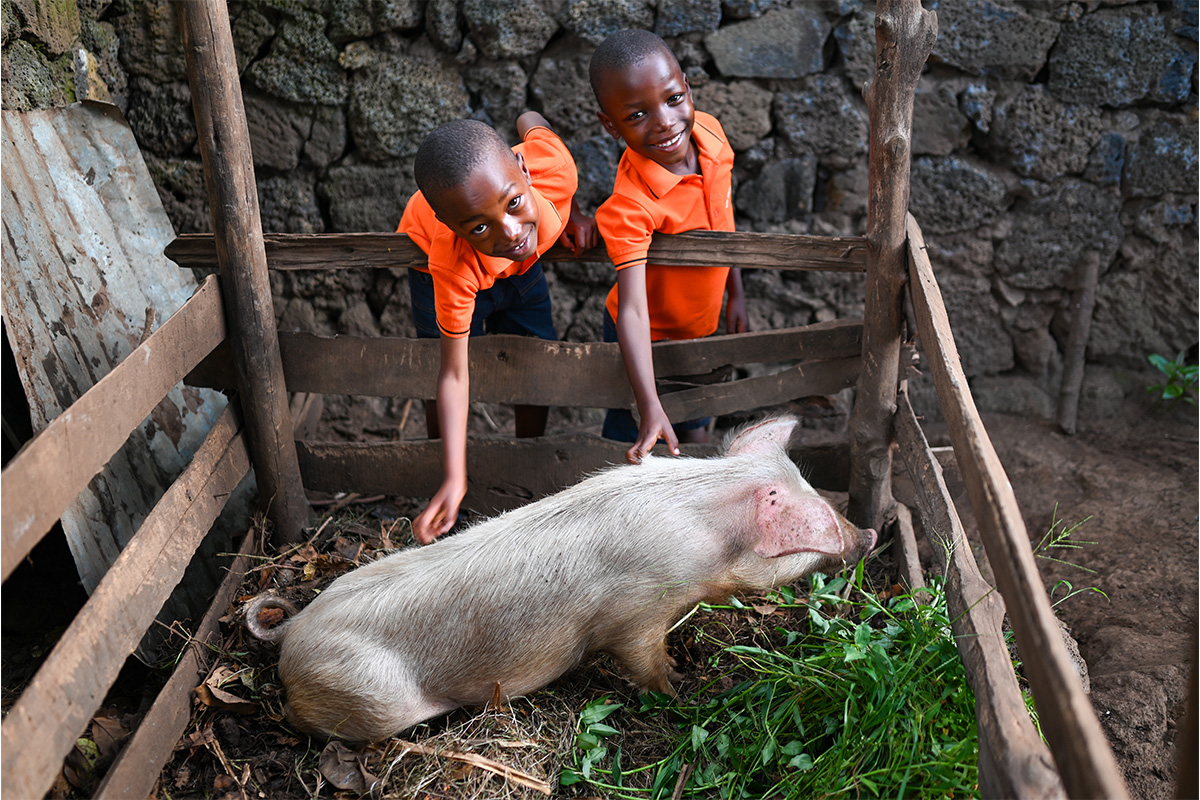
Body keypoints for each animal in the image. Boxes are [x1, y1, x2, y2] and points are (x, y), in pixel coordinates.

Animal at [246, 417, 883, 743]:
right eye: (817, 525)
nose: (872, 534)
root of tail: (293, 632)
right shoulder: (635, 613)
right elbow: (643, 663)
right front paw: (683, 687)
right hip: (370, 697)